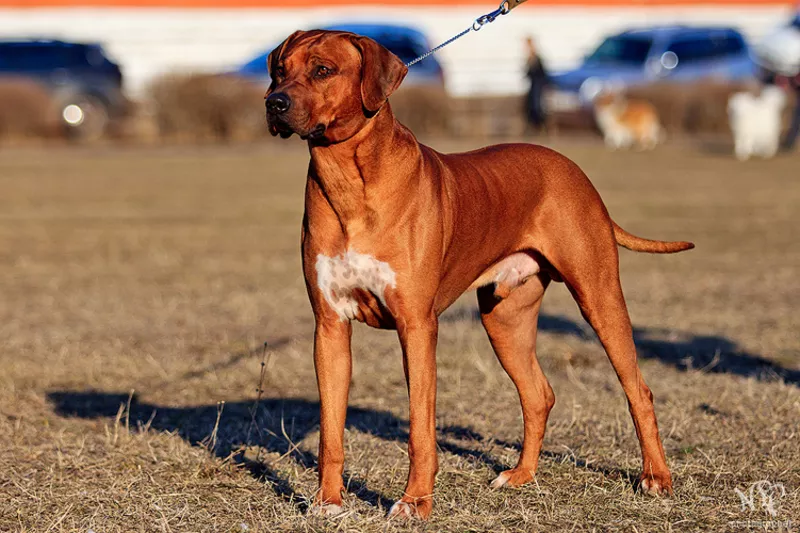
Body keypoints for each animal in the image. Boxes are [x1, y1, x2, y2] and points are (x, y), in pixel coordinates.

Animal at [266, 30, 692, 520]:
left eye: (323, 70)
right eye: (279, 69)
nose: (273, 102)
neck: (349, 177)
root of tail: (573, 170)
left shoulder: (417, 325)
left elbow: (420, 428)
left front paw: (414, 502)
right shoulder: (330, 327)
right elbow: (330, 429)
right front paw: (328, 501)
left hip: (599, 297)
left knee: (638, 389)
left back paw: (656, 478)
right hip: (504, 318)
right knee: (538, 394)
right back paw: (522, 475)